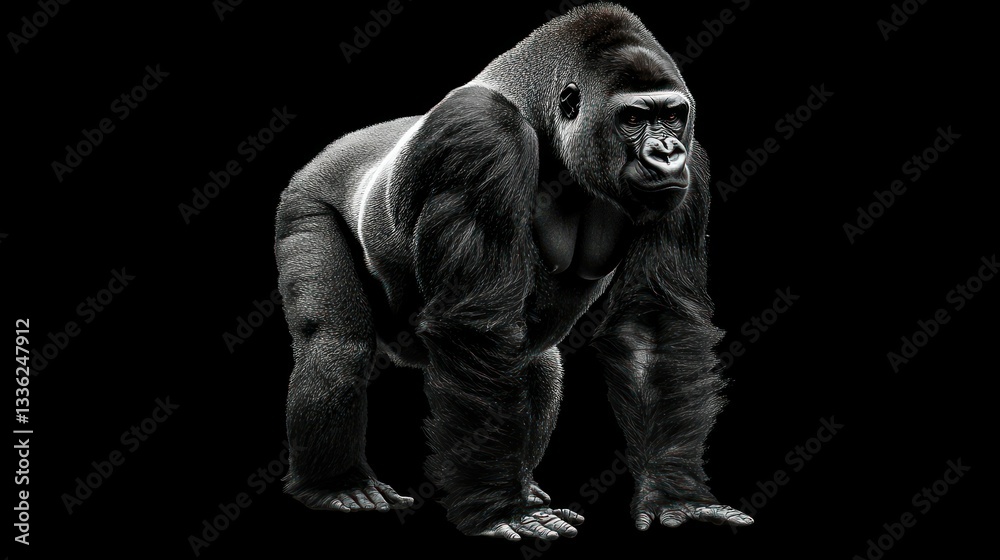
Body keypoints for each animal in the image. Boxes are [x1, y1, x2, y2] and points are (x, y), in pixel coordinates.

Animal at [274, 2, 752, 540]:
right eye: (634, 118)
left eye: (672, 115)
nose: (668, 152)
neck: (541, 114)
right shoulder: (481, 136)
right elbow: (476, 322)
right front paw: (499, 511)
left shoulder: (692, 170)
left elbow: (654, 327)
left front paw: (675, 492)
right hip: (305, 197)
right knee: (337, 347)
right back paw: (335, 485)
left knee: (538, 366)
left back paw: (523, 483)